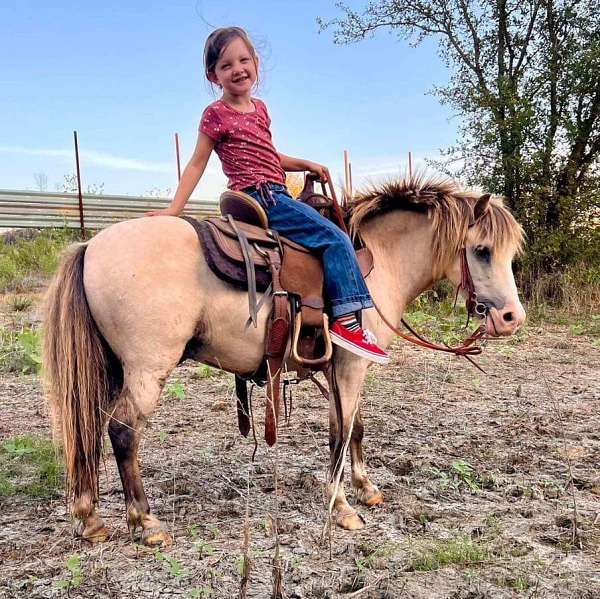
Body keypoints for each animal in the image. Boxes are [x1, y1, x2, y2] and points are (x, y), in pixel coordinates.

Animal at [43, 175, 524, 548]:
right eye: (482, 250)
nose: (511, 318)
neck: (377, 263)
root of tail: (90, 245)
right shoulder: (350, 365)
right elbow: (339, 433)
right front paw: (342, 507)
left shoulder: (347, 367)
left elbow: (356, 427)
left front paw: (366, 489)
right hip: (147, 369)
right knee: (123, 432)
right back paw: (146, 522)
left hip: (110, 369)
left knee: (90, 429)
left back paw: (90, 518)